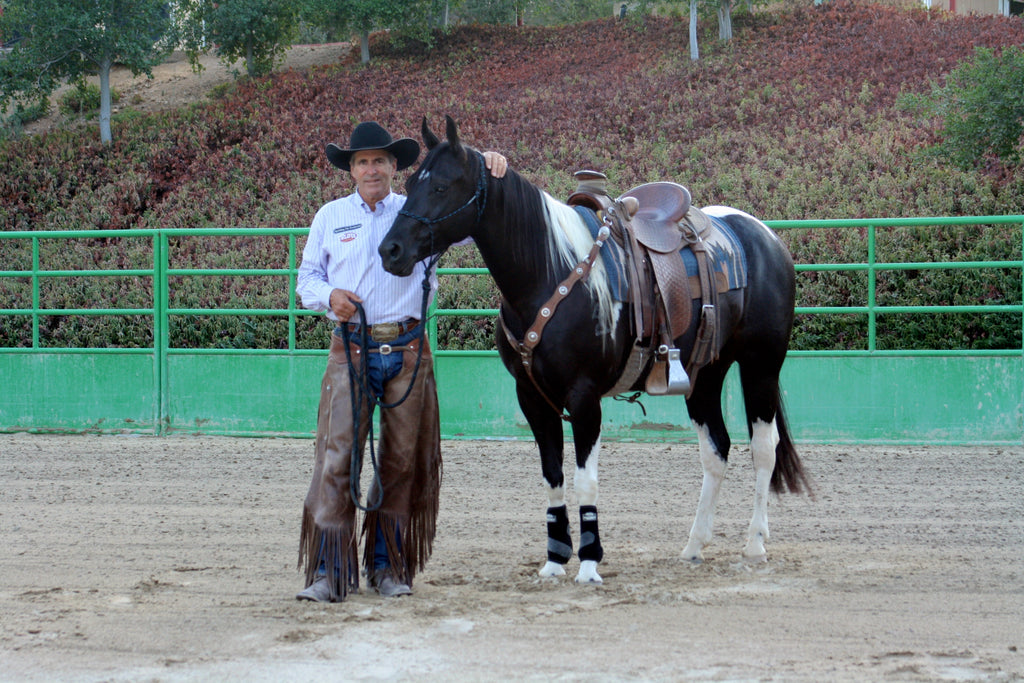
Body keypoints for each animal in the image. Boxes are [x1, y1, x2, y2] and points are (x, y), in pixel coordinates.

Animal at [380, 116, 811, 581]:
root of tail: (766, 238)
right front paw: (554, 560)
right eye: (410, 184)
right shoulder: (532, 398)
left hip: (761, 365)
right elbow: (552, 476)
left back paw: (754, 544)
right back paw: (694, 545)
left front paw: (588, 562)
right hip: (705, 374)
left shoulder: (584, 397)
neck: (550, 273)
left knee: (763, 449)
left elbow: (585, 480)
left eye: (441, 186)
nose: (390, 250)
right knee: (716, 450)